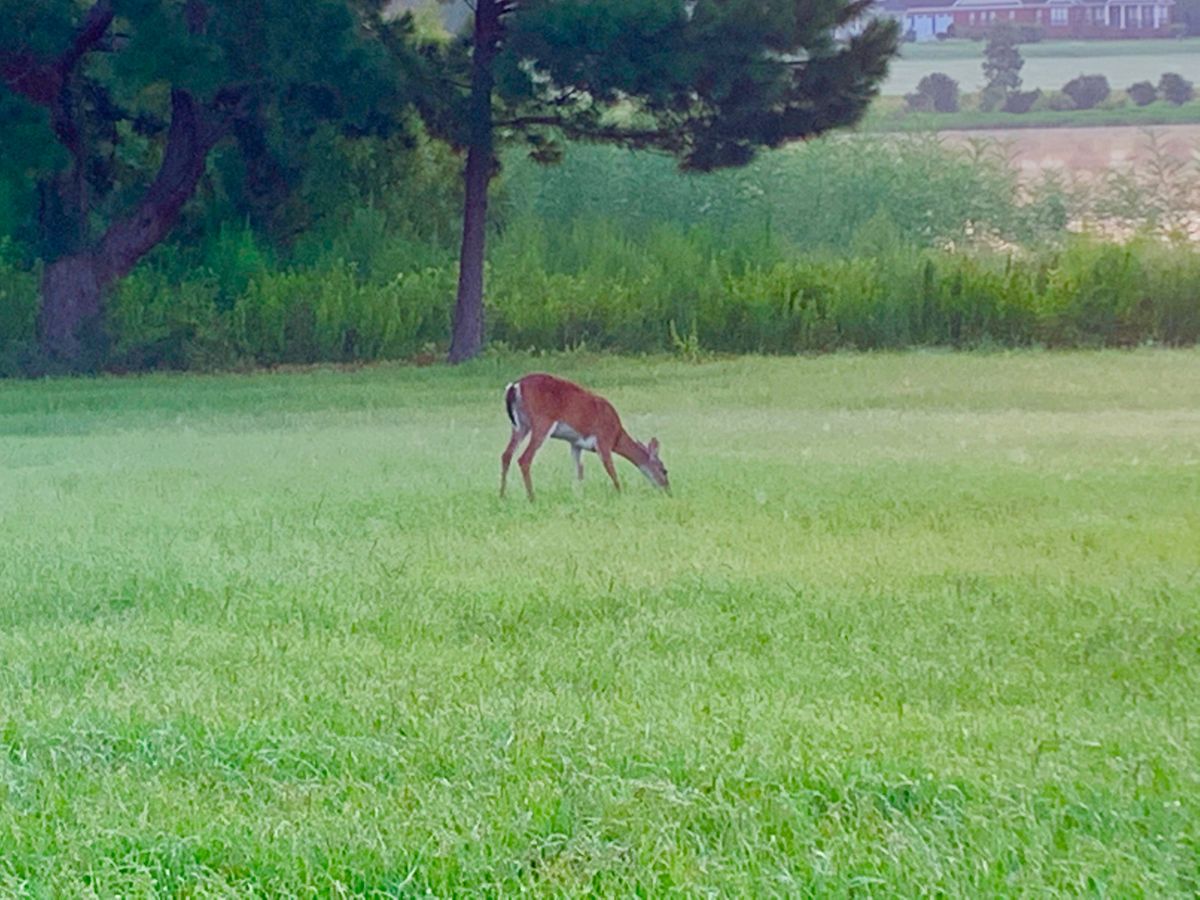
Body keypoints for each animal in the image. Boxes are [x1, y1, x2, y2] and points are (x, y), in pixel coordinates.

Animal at [501, 372, 672, 504]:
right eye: (664, 470)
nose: (667, 490)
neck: (617, 436)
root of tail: (515, 386)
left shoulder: (576, 444)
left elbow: (578, 472)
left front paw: (578, 497)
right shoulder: (603, 441)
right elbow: (612, 471)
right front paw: (621, 495)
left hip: (519, 425)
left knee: (506, 454)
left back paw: (502, 495)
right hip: (541, 421)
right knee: (524, 458)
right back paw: (532, 498)